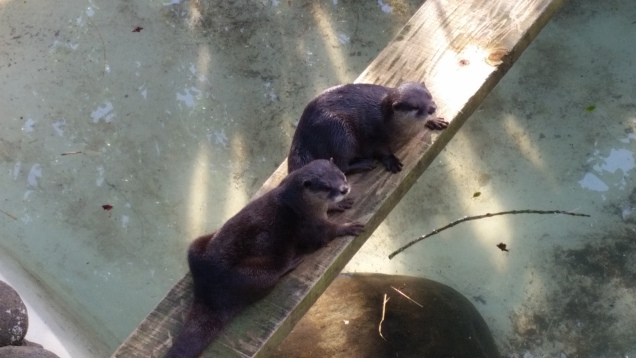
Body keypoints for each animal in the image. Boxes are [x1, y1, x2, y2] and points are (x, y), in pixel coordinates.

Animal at [164, 159, 362, 358]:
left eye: (342, 175)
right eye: (327, 187)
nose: (344, 189)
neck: (299, 204)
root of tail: (208, 291)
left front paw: (337, 205)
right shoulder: (310, 225)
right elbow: (325, 234)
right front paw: (347, 227)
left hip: (196, 246)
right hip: (256, 276)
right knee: (273, 275)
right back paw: (291, 262)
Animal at [288, 82, 448, 175]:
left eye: (429, 95)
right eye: (415, 107)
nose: (432, 108)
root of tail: (302, 133)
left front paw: (435, 121)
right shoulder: (373, 135)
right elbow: (380, 150)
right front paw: (392, 160)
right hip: (339, 133)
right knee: (341, 165)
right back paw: (365, 164)